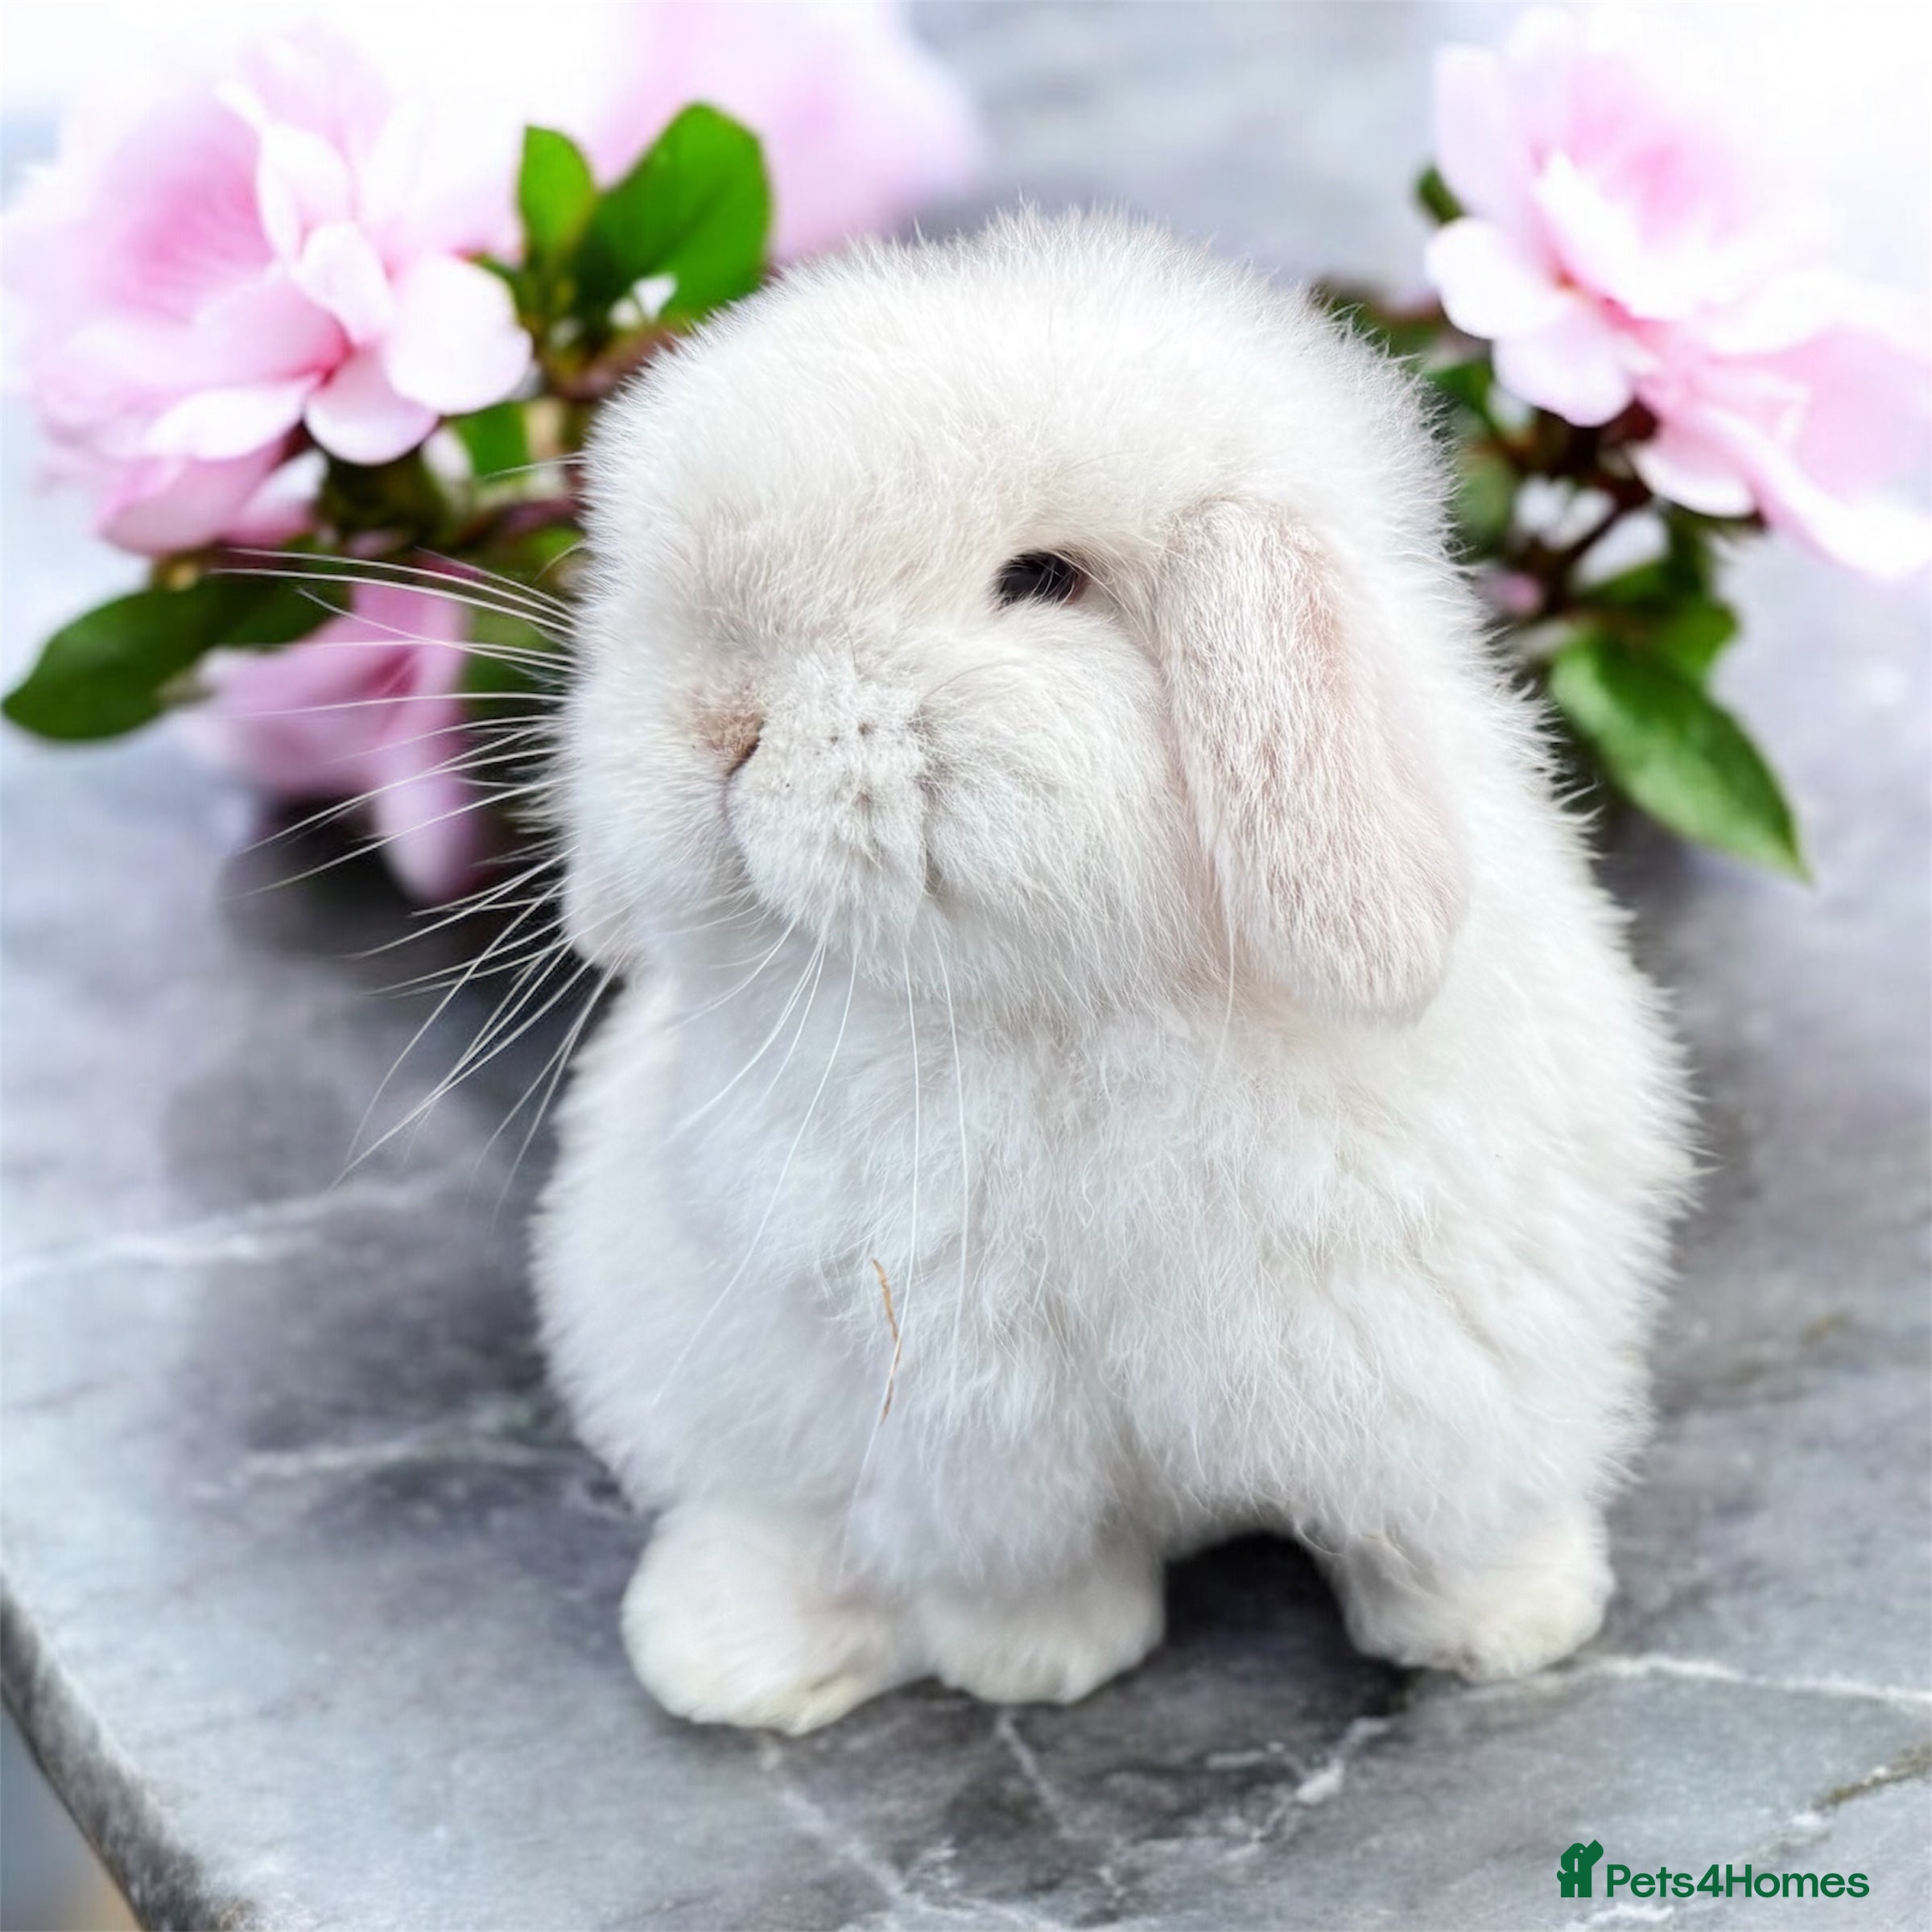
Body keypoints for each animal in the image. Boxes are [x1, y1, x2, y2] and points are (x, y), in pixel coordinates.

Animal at [531, 209, 1694, 1736]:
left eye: (1043, 580)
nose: (721, 719)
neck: (1066, 1009)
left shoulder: (1443, 1357)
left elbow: (1443, 1523)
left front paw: (1501, 1634)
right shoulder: (976, 1425)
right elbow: (1023, 1571)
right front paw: (1037, 1667)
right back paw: (736, 1653)